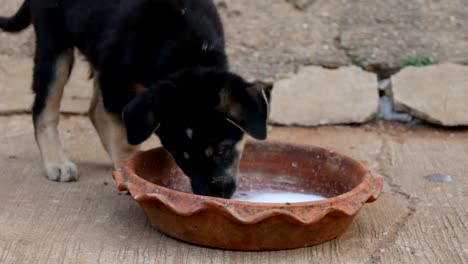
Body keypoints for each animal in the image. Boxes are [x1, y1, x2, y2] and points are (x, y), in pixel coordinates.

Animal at [0, 0, 268, 198]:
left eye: (222, 150)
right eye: (181, 156)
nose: (213, 196)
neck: (184, 53)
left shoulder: (113, 77)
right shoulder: (115, 80)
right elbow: (125, 140)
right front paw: (131, 176)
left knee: (94, 110)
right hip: (55, 42)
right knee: (44, 108)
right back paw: (56, 162)